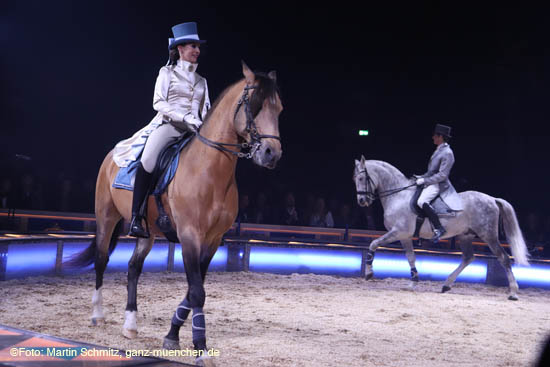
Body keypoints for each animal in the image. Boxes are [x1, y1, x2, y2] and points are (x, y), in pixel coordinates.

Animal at [67, 61, 284, 366]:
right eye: (254, 105)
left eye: (280, 109)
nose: (271, 153)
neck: (210, 169)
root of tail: (113, 154)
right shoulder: (190, 236)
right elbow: (196, 292)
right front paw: (200, 348)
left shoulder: (212, 240)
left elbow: (195, 289)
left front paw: (172, 334)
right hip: (106, 217)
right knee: (101, 259)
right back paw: (98, 314)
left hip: (145, 231)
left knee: (133, 267)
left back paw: (130, 324)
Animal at [354, 157, 532, 300]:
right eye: (354, 179)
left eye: (362, 178)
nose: (362, 201)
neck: (398, 196)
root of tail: (493, 199)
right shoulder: (405, 236)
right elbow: (411, 257)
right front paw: (413, 282)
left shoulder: (398, 232)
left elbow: (373, 244)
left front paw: (369, 273)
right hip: (465, 235)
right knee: (468, 257)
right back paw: (446, 285)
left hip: (488, 236)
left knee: (503, 258)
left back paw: (513, 293)